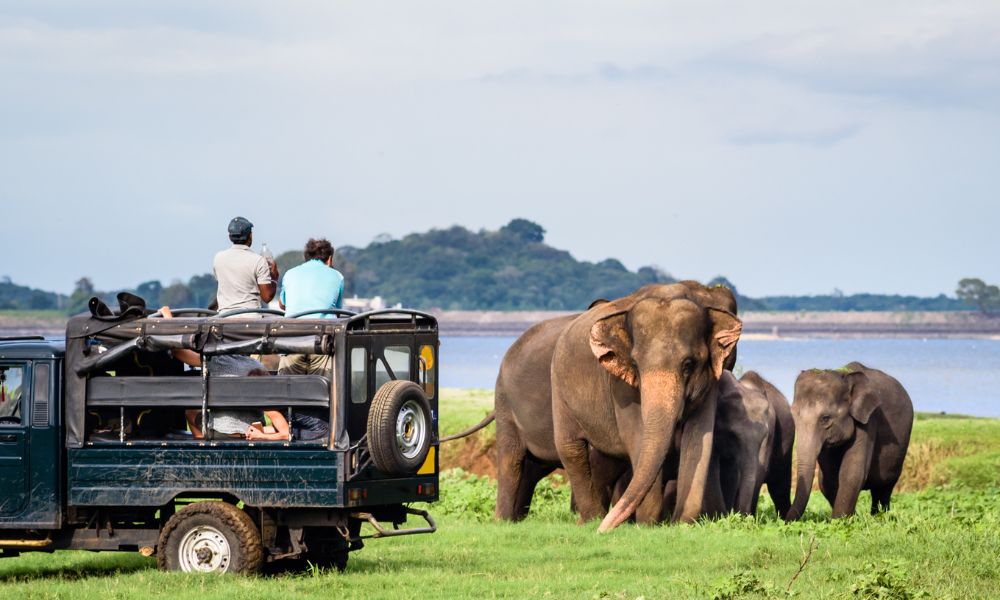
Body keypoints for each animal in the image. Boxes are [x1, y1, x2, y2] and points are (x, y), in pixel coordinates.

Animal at [494, 282, 737, 523]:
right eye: (636, 365)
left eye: (688, 364)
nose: (605, 527)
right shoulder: (620, 386)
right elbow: (637, 437)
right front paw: (647, 525)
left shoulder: (711, 381)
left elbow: (699, 439)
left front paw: (681, 522)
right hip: (538, 393)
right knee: (552, 451)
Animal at [786, 362, 913, 520]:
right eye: (793, 416)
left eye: (826, 418)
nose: (783, 520)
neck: (843, 375)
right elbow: (828, 480)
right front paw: (850, 518)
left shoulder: (868, 420)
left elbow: (852, 472)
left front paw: (839, 521)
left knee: (884, 488)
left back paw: (879, 517)